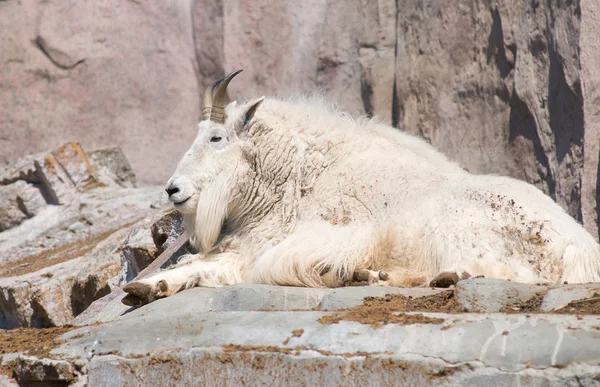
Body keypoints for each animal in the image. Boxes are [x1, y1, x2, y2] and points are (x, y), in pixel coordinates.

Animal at [122, 69, 600, 306]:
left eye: (216, 138)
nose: (172, 190)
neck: (296, 173)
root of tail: (580, 248)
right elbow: (203, 267)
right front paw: (146, 287)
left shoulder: (312, 237)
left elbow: (242, 267)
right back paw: (377, 275)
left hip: (457, 227)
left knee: (509, 273)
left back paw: (440, 276)